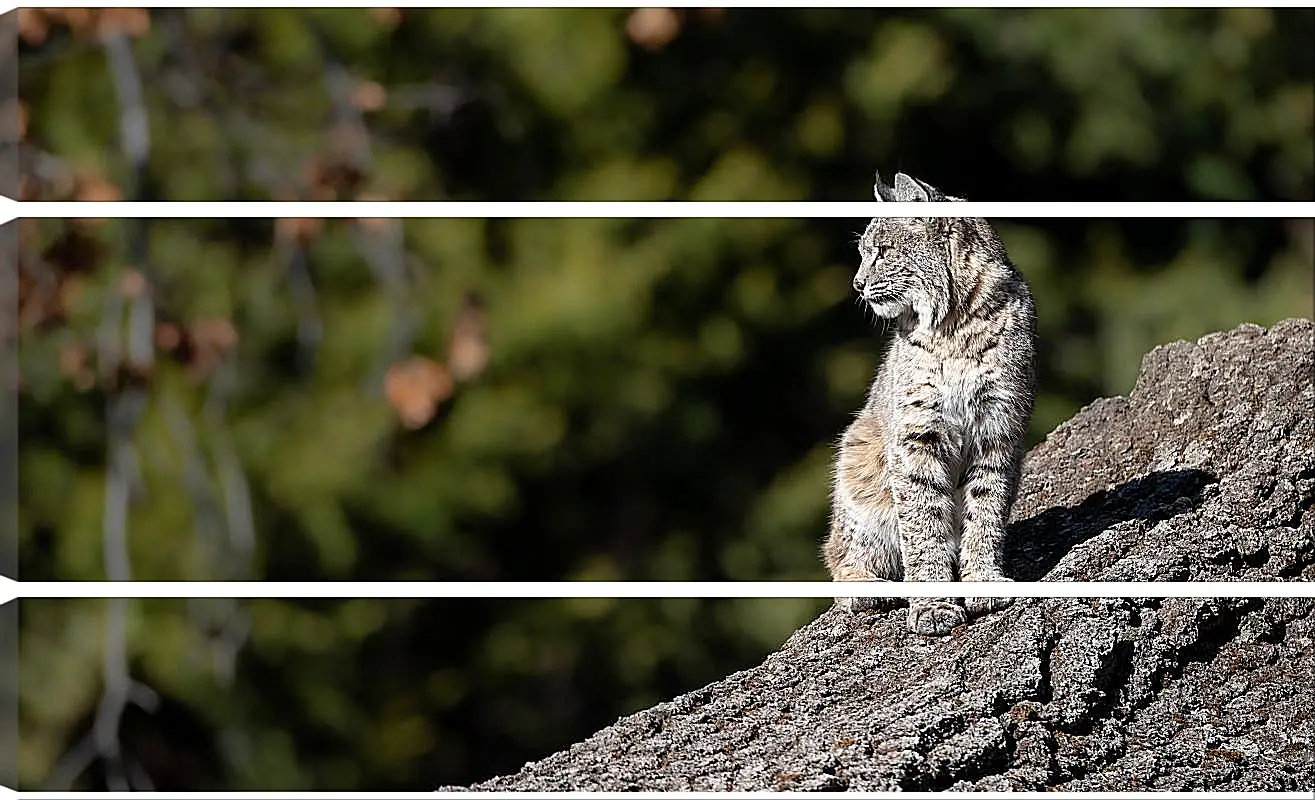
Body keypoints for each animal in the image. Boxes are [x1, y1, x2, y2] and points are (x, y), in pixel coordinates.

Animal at [820, 169, 1036, 636]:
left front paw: (982, 582)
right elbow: (922, 524)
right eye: (863, 254)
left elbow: (986, 512)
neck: (956, 321)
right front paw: (934, 603)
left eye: (882, 252)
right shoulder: (916, 434)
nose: (857, 285)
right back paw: (865, 586)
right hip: (857, 452)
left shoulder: (998, 427)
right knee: (836, 551)